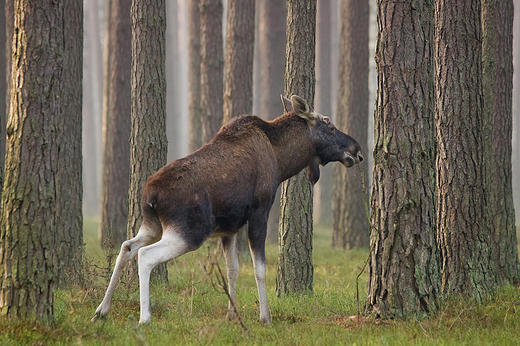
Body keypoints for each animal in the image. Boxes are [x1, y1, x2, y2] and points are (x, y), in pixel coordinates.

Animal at [92, 94, 362, 324]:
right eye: (330, 126)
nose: (356, 150)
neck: (281, 160)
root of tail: (151, 195)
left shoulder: (229, 228)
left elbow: (233, 269)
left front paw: (232, 314)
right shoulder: (259, 212)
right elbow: (259, 268)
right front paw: (265, 317)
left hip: (153, 225)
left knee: (127, 247)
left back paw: (102, 310)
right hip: (190, 231)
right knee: (145, 255)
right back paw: (144, 317)